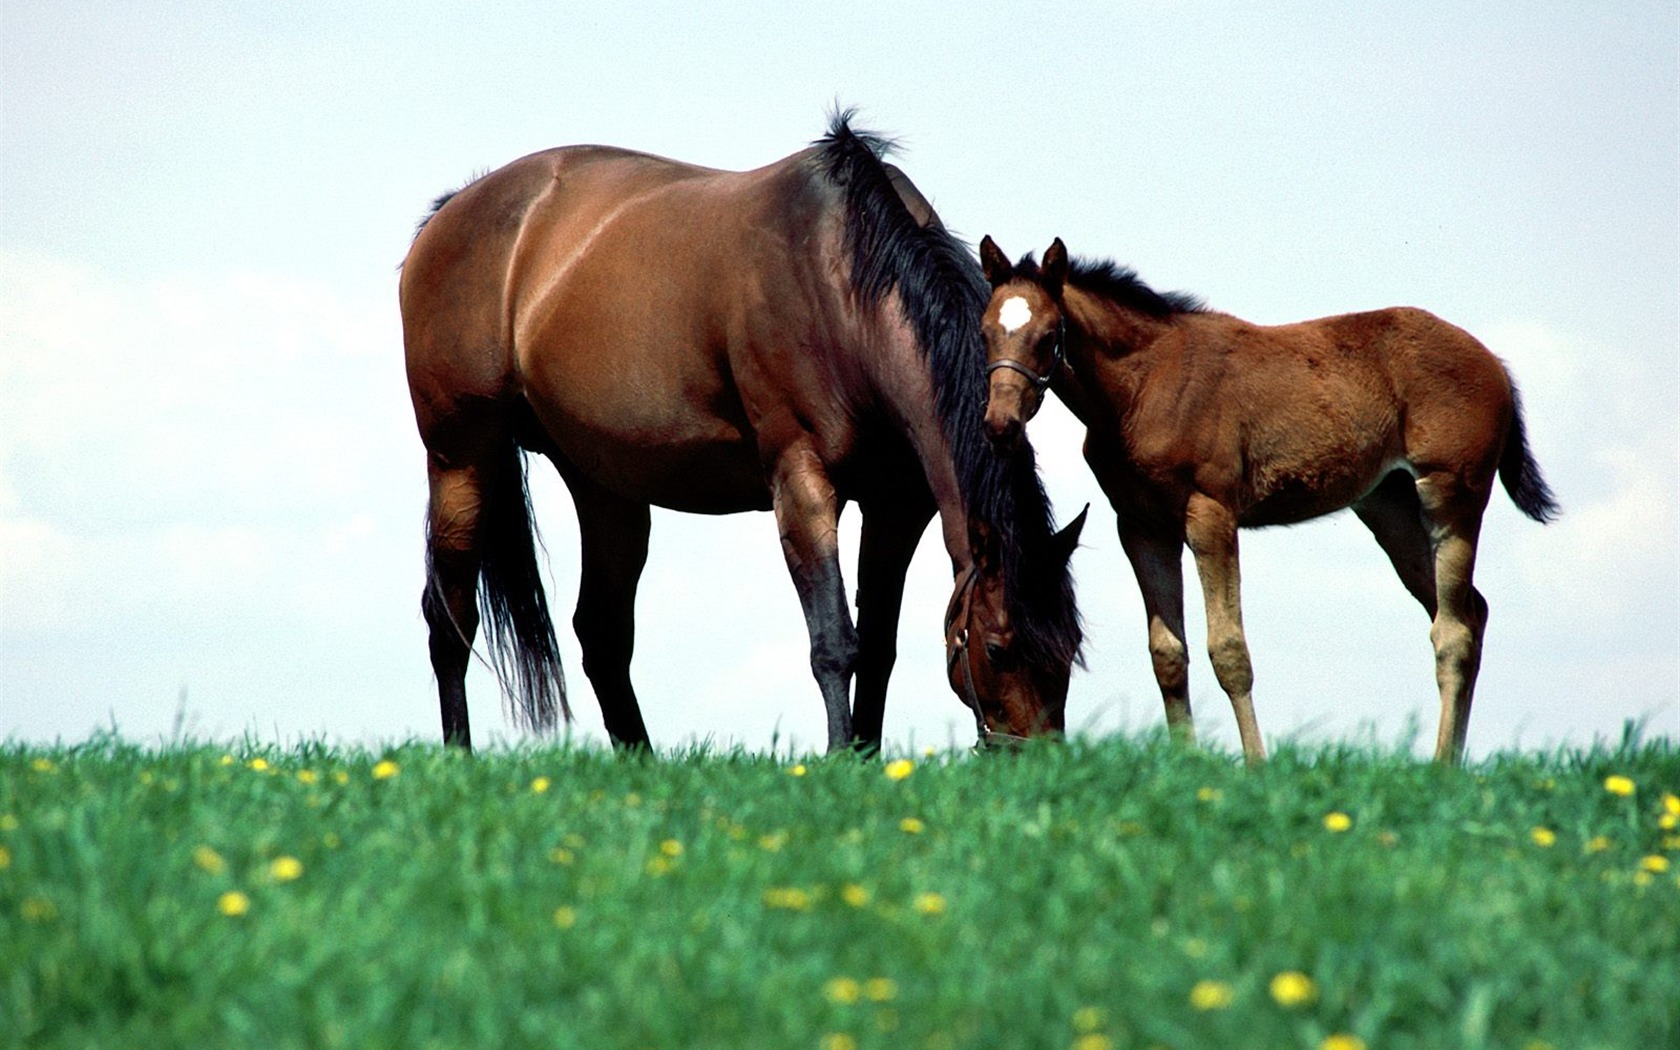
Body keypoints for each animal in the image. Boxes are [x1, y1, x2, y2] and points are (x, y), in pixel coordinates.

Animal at [394, 118, 1081, 749]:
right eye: (999, 648)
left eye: (1072, 644)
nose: (1041, 761)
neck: (840, 283)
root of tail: (450, 213)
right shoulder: (801, 484)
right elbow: (835, 641)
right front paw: (839, 757)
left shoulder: (897, 507)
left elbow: (879, 646)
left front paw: (867, 757)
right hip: (461, 457)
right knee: (449, 615)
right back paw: (459, 754)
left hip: (605, 488)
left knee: (602, 633)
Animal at [981, 235, 1552, 762]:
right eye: (986, 332)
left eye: (1048, 335)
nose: (999, 424)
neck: (1144, 386)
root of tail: (1494, 362)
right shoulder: (1142, 526)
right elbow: (1167, 654)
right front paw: (1185, 764)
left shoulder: (1210, 513)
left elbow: (1229, 648)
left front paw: (1256, 764)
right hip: (1391, 510)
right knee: (1471, 612)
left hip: (1452, 497)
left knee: (1453, 631)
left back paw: (1440, 768)